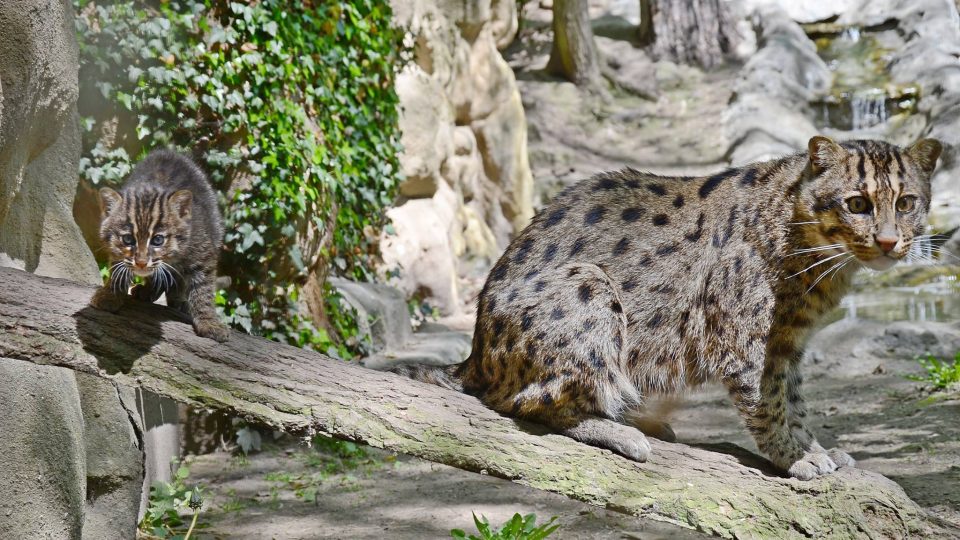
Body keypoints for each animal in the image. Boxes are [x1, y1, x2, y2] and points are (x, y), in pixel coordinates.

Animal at [90, 149, 232, 342]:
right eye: (128, 239)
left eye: (158, 240)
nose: (141, 263)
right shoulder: (119, 254)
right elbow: (118, 270)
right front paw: (110, 295)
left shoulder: (204, 254)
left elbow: (204, 289)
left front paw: (209, 322)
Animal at [402, 136, 940, 480]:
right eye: (857, 203)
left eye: (907, 202)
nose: (890, 242)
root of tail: (475, 352)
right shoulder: (745, 340)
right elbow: (767, 403)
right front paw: (794, 458)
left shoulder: (786, 344)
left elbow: (794, 400)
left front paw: (813, 446)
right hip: (590, 285)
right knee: (520, 399)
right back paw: (620, 430)